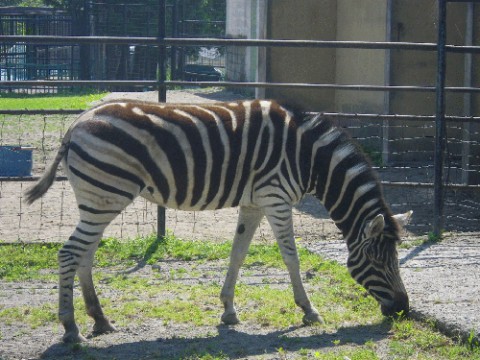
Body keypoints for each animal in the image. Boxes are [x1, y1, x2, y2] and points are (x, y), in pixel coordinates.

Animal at [24, 98, 410, 344]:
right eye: (378, 260)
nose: (403, 310)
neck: (308, 157)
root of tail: (76, 123)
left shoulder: (254, 203)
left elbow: (238, 254)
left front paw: (228, 311)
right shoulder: (276, 197)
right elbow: (291, 257)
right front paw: (309, 311)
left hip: (98, 198)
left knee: (84, 255)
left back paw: (100, 320)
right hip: (106, 194)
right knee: (69, 254)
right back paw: (70, 326)